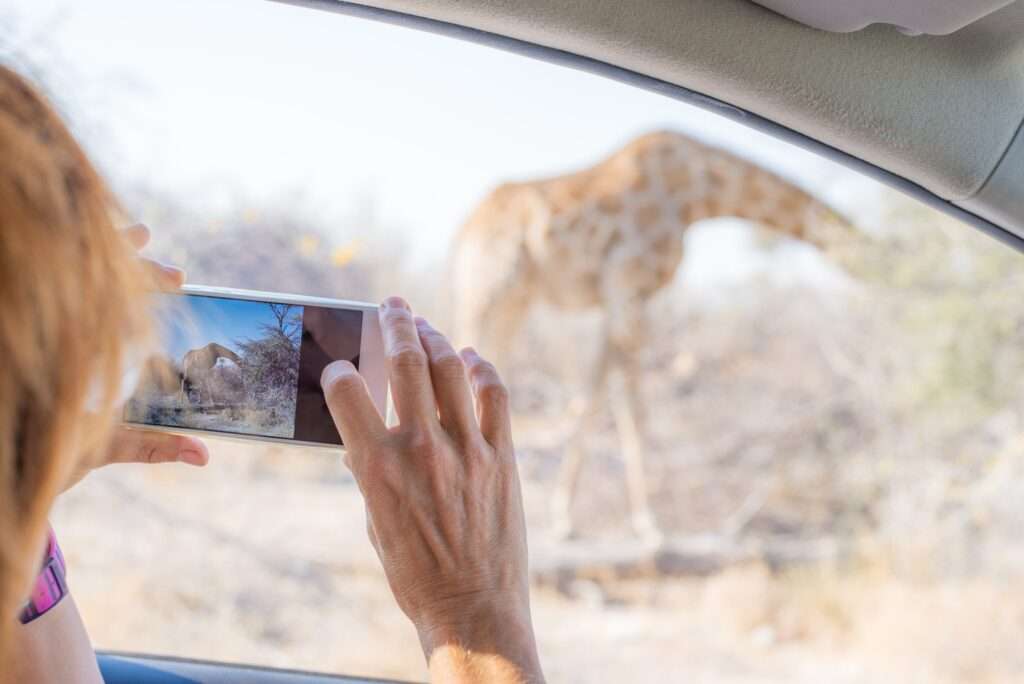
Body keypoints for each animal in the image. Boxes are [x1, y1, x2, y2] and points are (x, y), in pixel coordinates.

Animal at [452, 131, 851, 540]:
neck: (703, 192)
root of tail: (467, 227)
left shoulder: (617, 303)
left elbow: (594, 397)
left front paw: (565, 517)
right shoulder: (629, 289)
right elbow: (635, 412)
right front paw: (650, 523)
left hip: (516, 301)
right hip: (490, 288)